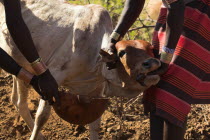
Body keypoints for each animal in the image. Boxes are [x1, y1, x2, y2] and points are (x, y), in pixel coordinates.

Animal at [0, 0, 161, 139]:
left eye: (151, 49)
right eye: (122, 53)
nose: (153, 62)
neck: (96, 61)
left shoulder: (94, 93)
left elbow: (95, 125)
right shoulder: (52, 79)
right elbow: (42, 117)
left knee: (16, 100)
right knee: (20, 102)